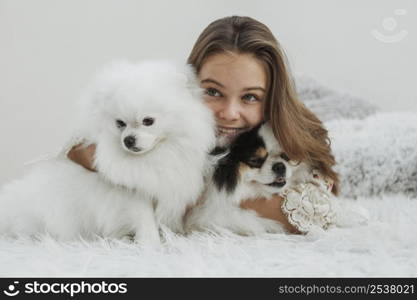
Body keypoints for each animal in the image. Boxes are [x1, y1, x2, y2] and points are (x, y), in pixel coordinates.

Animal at [0, 59, 214, 245]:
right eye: (120, 123)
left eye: (148, 121)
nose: (128, 140)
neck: (152, 157)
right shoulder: (134, 195)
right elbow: (146, 221)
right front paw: (151, 244)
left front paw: (169, 237)